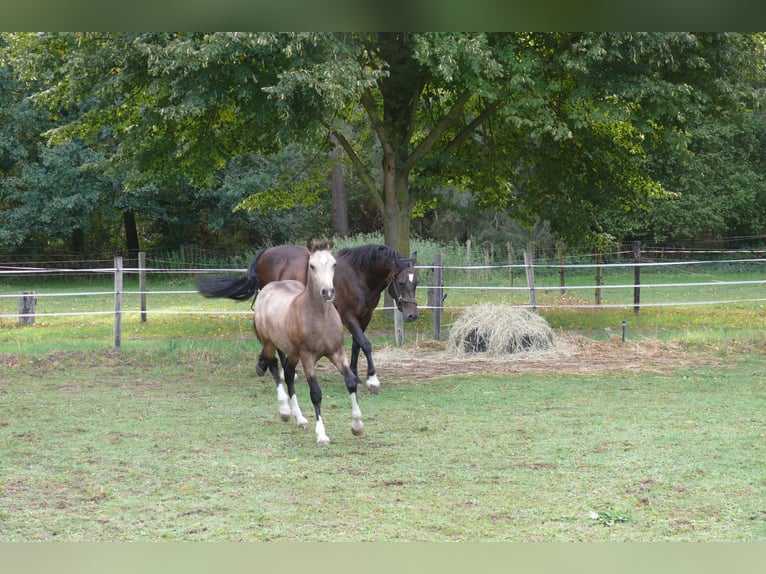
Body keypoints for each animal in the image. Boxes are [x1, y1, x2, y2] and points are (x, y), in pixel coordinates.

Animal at [197, 243, 419, 393]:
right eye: (400, 281)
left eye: (415, 282)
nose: (412, 315)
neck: (357, 275)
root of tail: (265, 254)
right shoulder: (348, 316)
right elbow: (366, 344)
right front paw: (372, 379)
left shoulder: (365, 316)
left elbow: (357, 345)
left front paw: (355, 374)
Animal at [254, 239, 363, 445]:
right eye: (312, 265)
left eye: (334, 264)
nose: (328, 292)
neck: (320, 319)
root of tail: (267, 288)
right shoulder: (308, 357)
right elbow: (315, 393)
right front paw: (321, 435)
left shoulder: (337, 352)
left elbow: (351, 382)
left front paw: (357, 426)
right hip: (269, 343)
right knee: (275, 368)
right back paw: (285, 411)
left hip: (293, 353)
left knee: (288, 375)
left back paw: (300, 418)